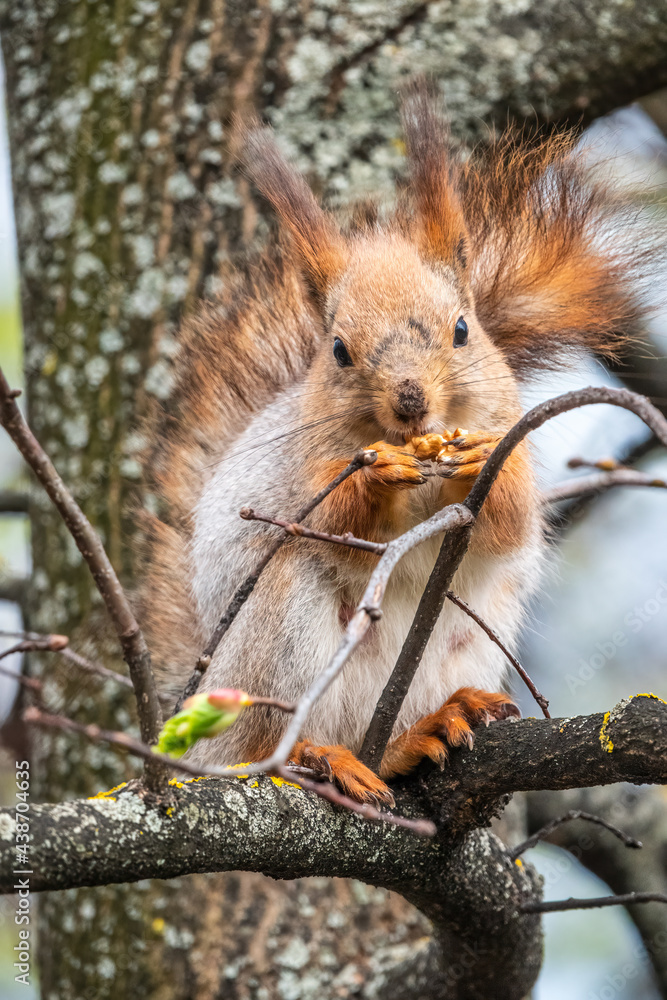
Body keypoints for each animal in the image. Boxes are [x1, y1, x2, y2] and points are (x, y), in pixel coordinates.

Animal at [140, 85, 654, 805]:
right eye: (337, 350)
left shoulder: (509, 439)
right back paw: (321, 755)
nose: (411, 400)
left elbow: (509, 522)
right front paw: (377, 474)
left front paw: (479, 469)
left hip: (463, 646)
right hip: (279, 640)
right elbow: (336, 520)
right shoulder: (301, 475)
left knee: (385, 741)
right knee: (274, 745)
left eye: (462, 329)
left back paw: (427, 729)